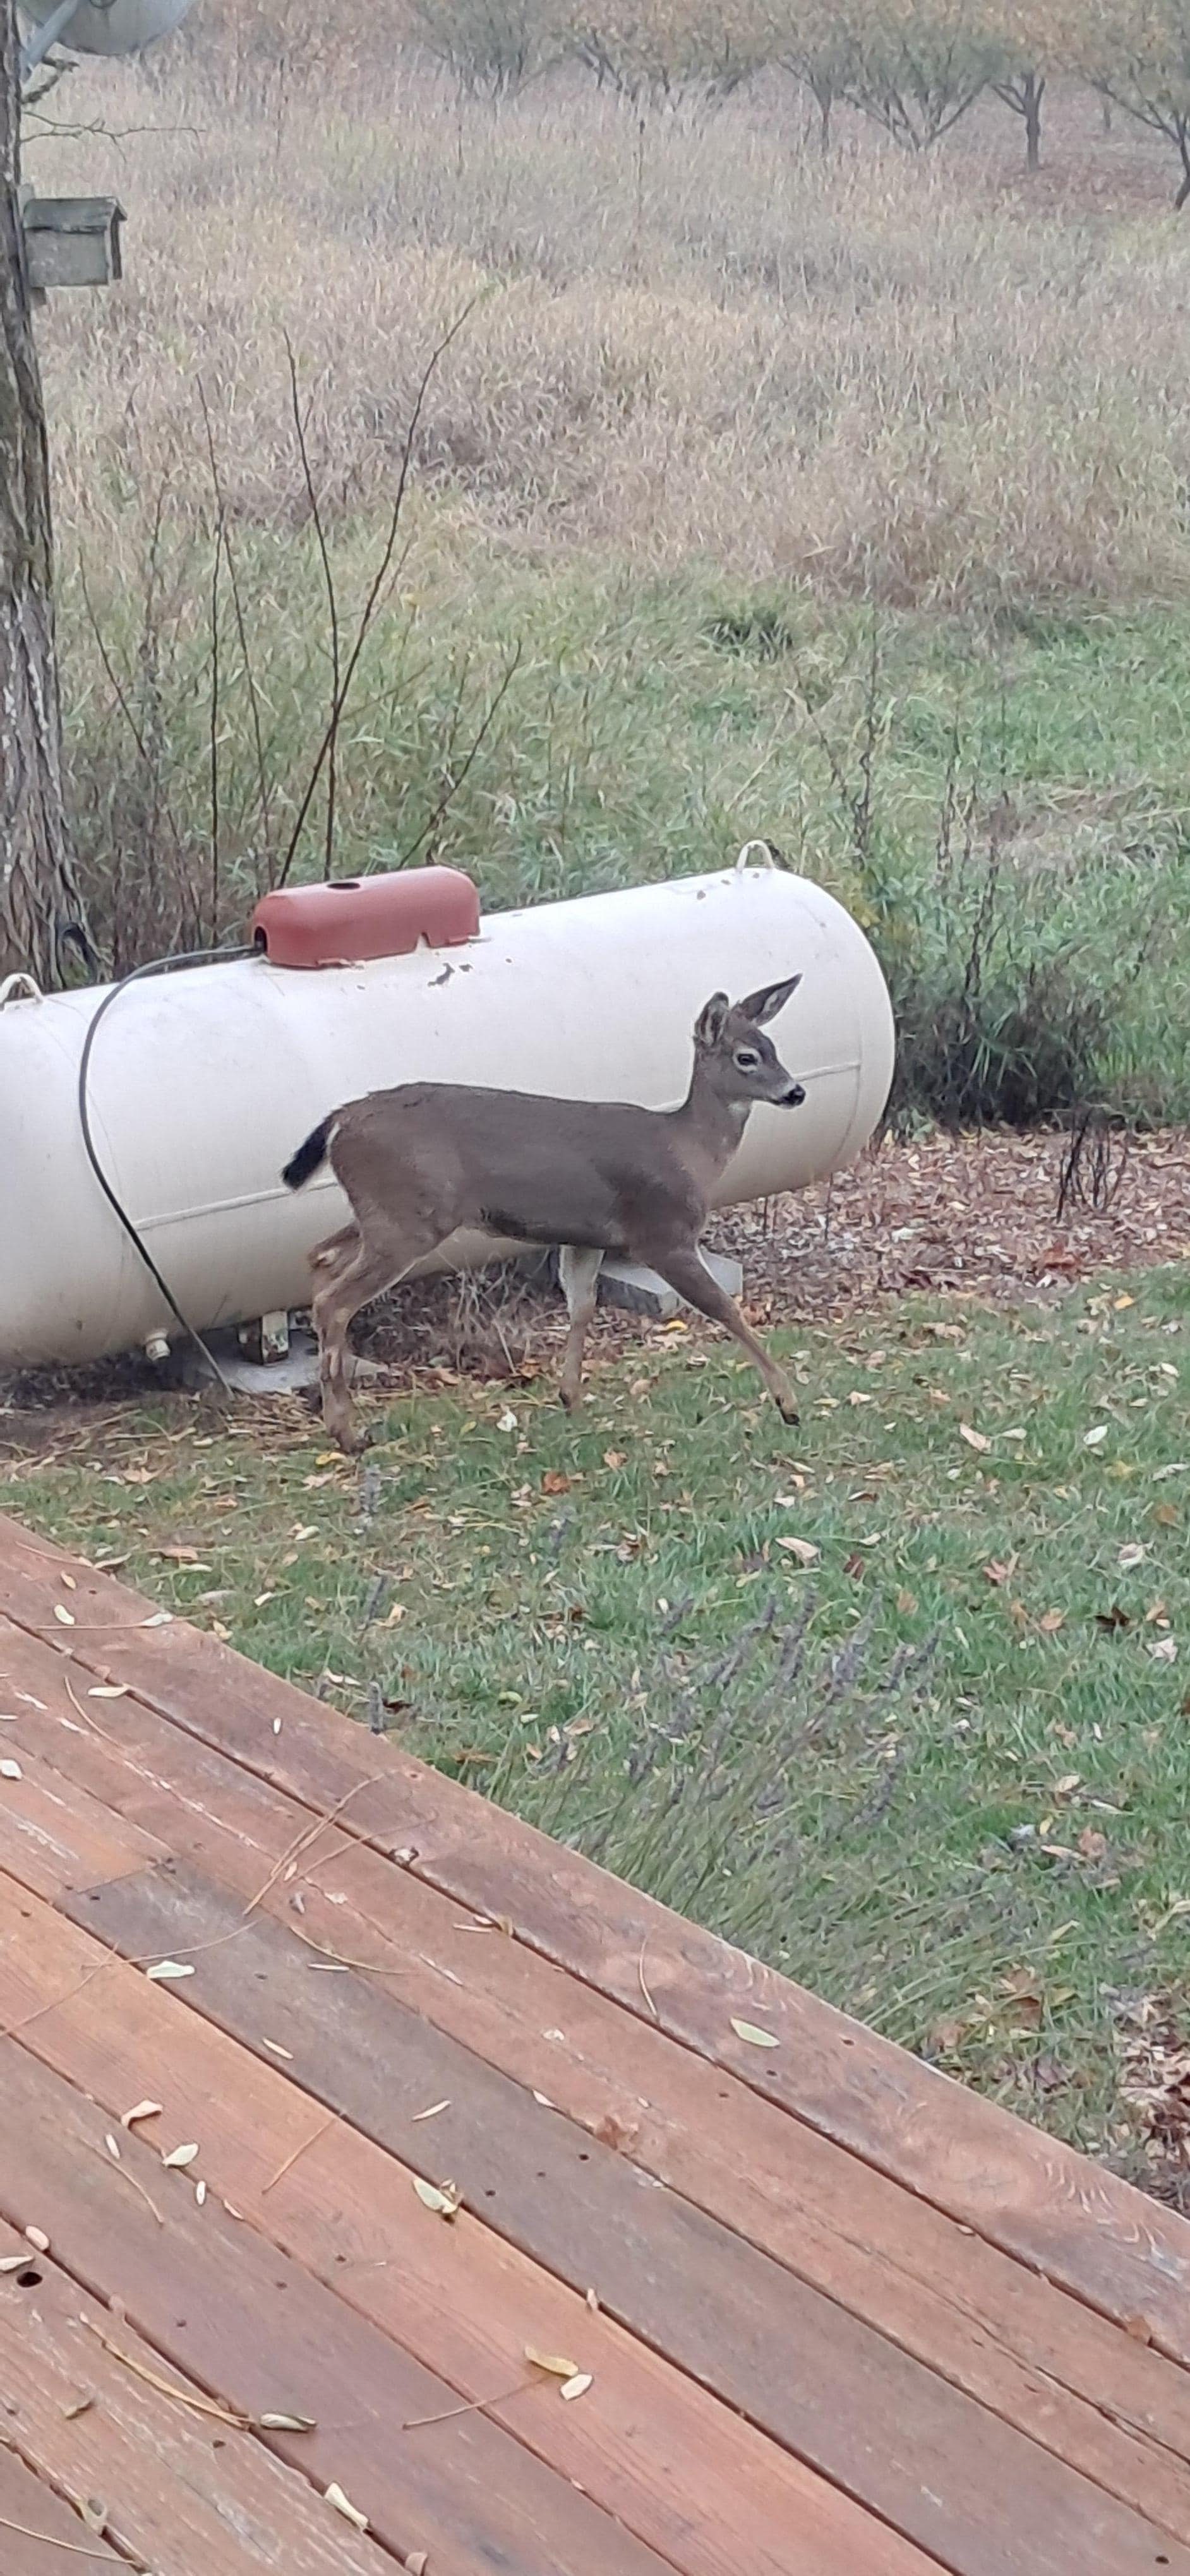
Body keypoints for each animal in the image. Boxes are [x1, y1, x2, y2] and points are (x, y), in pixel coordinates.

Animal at [281, 975, 806, 1453]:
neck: (688, 1152)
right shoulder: (663, 1234)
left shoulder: (587, 1237)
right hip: (407, 1218)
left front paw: (570, 1397)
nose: (795, 1092)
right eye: (746, 1057)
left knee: (320, 1258)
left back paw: (335, 1414)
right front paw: (788, 1404)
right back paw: (347, 1433)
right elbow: (725, 1308)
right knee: (334, 1302)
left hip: (385, 1211)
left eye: (774, 1047)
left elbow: (582, 1305)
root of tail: (341, 1119)